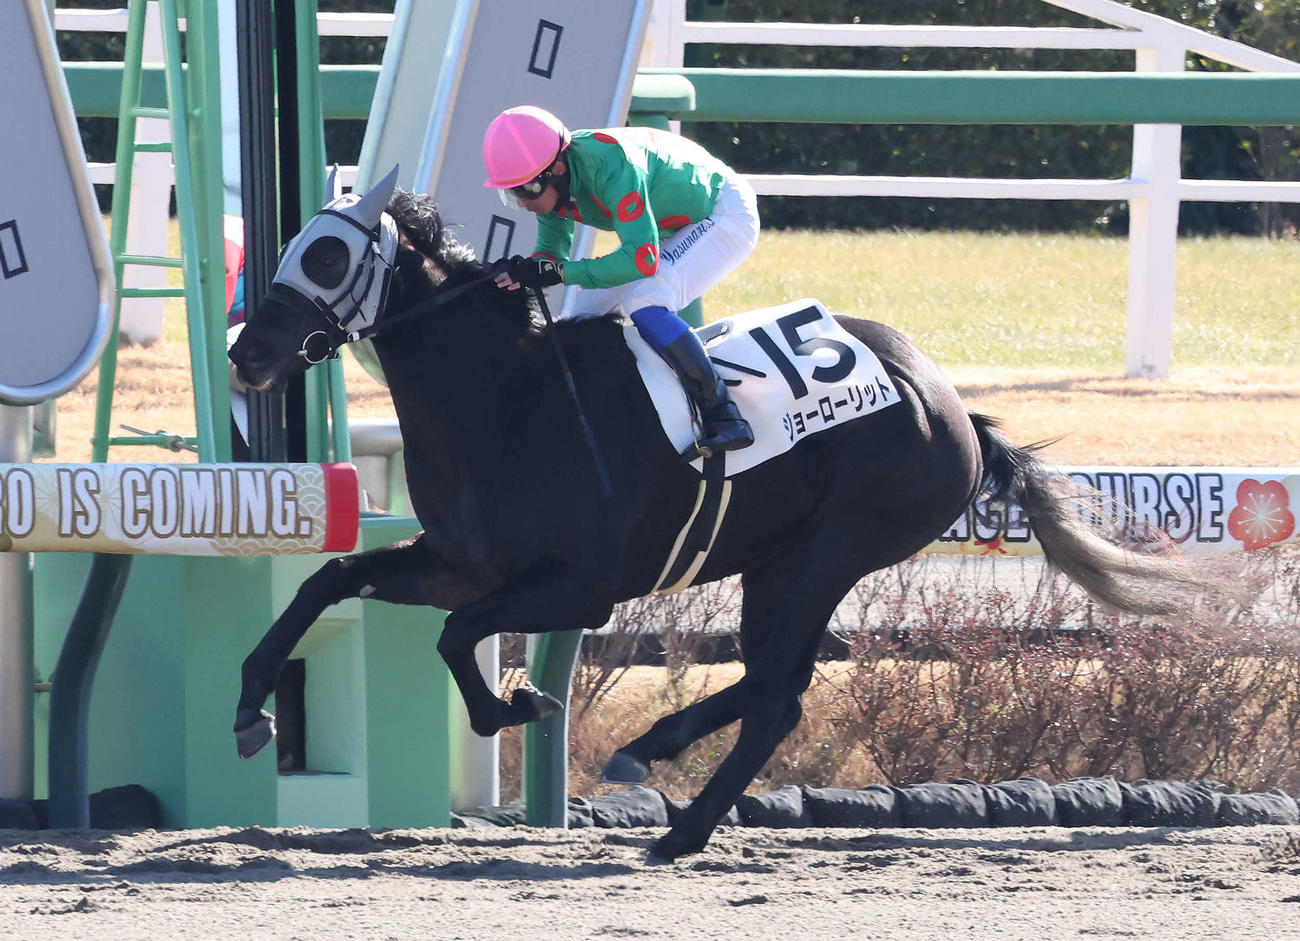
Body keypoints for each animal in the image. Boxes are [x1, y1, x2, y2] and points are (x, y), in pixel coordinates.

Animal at [228, 169, 1219, 861]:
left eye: (327, 255)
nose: (247, 351)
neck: (507, 400)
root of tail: (949, 403)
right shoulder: (459, 562)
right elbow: (330, 579)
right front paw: (250, 709)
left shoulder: (578, 588)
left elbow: (458, 633)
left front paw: (512, 704)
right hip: (776, 560)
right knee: (779, 686)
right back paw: (666, 782)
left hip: (834, 549)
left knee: (778, 687)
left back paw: (664, 785)